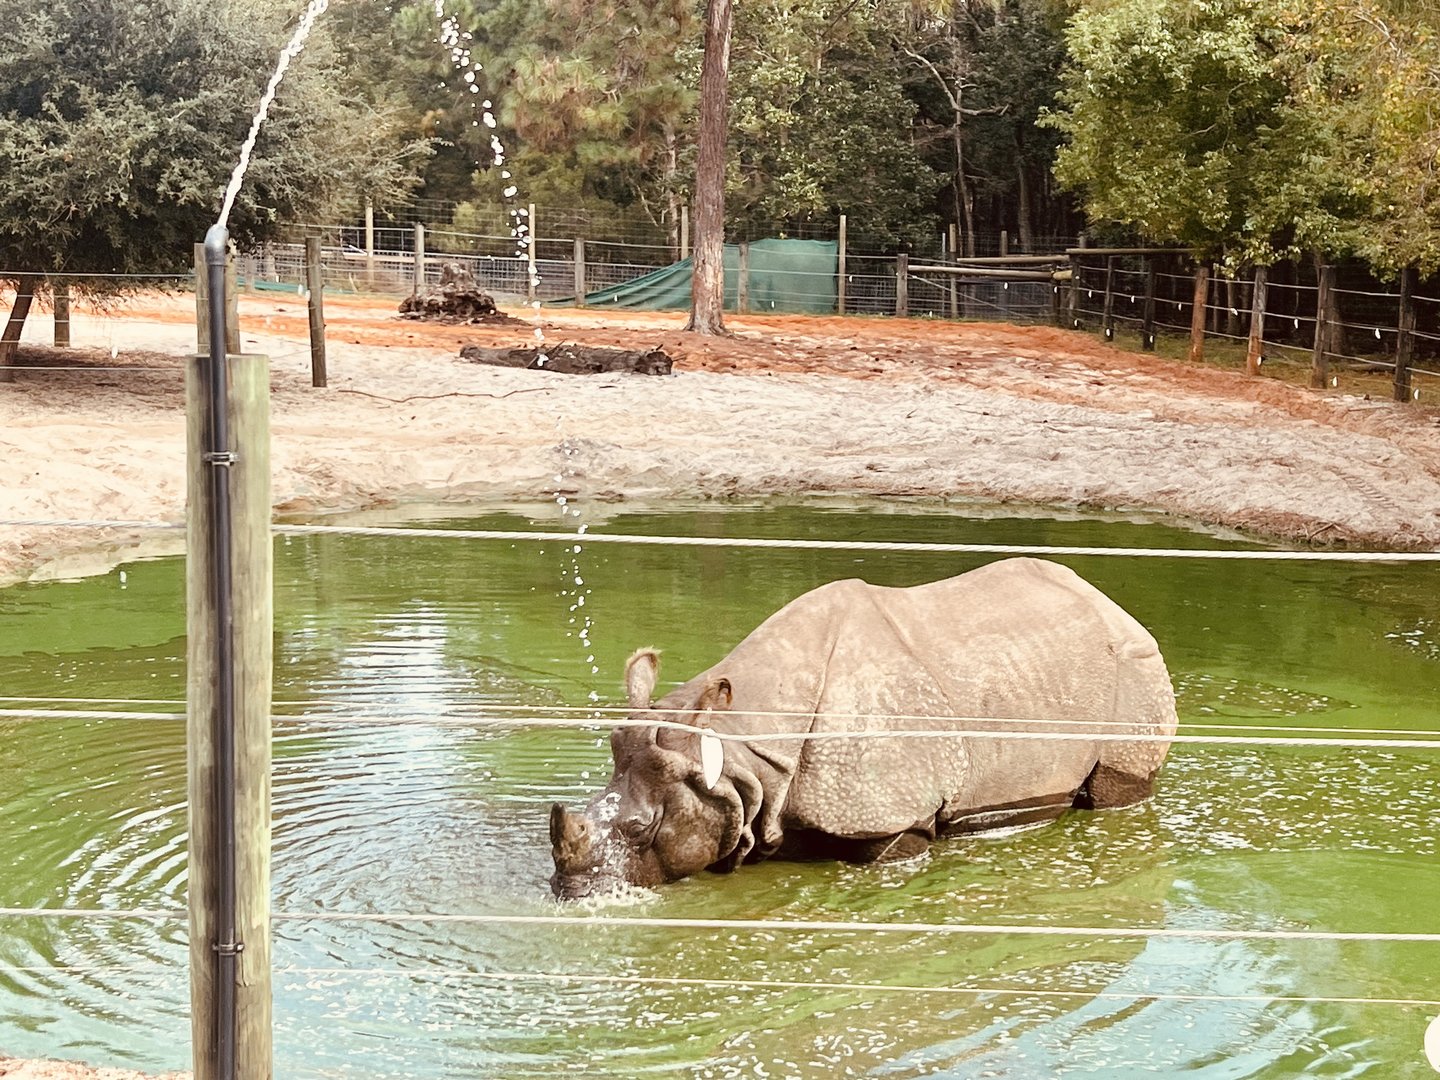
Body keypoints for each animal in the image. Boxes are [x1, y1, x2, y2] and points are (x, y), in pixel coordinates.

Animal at [549, 557, 1177, 899]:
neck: (738, 750)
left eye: (641, 828)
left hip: (1134, 665)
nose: (569, 895)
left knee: (1117, 787)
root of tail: (1112, 603)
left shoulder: (892, 818)